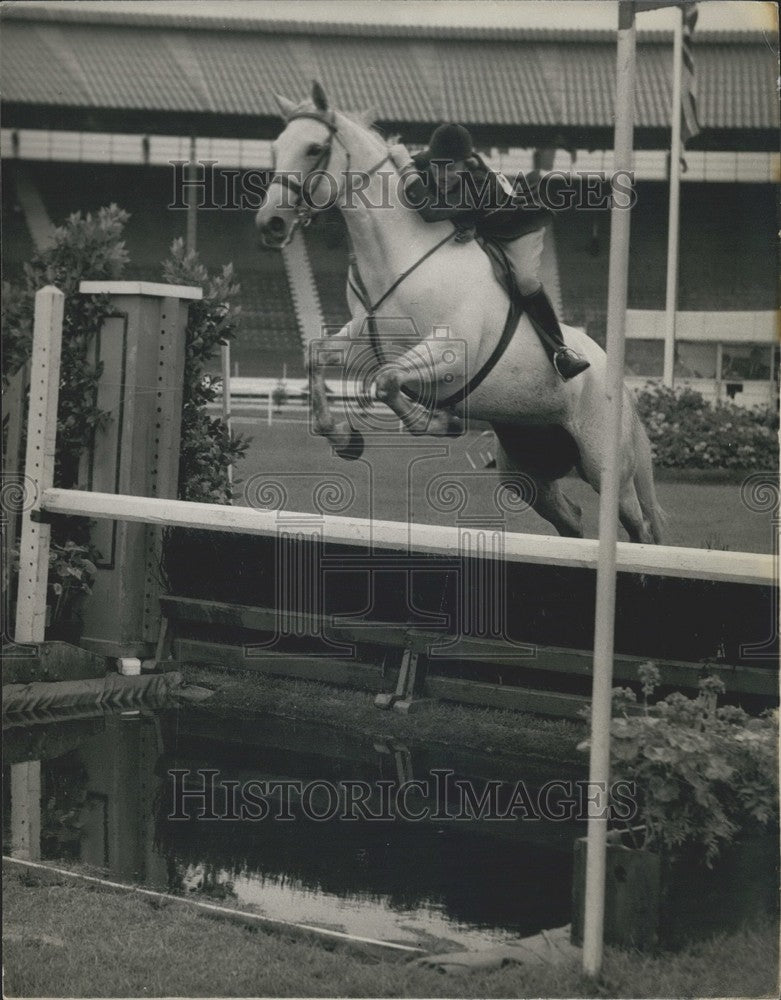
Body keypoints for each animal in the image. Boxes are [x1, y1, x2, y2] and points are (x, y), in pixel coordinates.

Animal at [258, 81, 664, 544]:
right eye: (275, 149)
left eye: (314, 148)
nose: (270, 223)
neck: (401, 256)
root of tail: (617, 376)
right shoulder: (365, 341)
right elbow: (318, 356)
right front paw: (345, 439)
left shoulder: (450, 353)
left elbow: (387, 381)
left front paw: (441, 423)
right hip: (526, 466)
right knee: (571, 518)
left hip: (605, 467)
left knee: (639, 527)